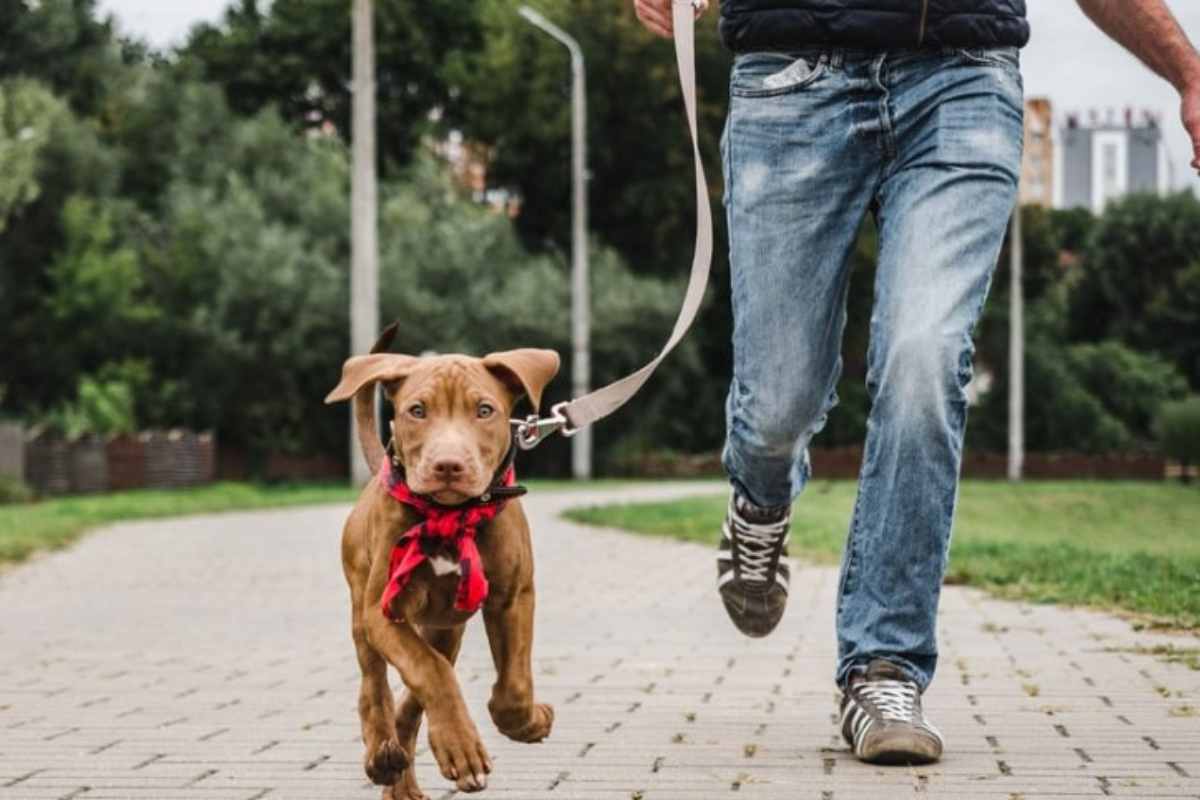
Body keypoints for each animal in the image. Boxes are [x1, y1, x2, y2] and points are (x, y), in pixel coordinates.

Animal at [328, 328, 561, 796]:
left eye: (485, 410)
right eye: (417, 411)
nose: (448, 465)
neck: (450, 515)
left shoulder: (512, 596)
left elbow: (512, 686)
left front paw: (528, 722)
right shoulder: (383, 611)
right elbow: (429, 671)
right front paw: (461, 747)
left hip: (445, 626)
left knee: (416, 694)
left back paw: (400, 778)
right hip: (363, 609)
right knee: (375, 686)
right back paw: (381, 753)